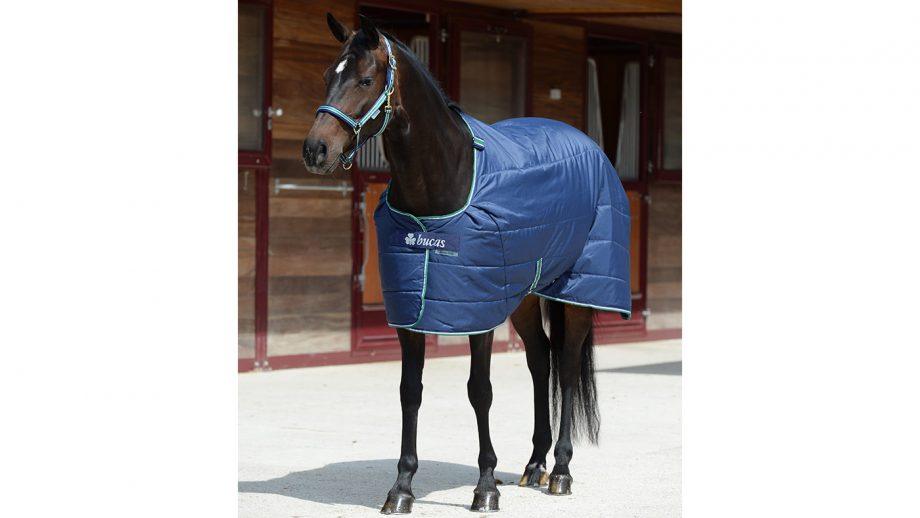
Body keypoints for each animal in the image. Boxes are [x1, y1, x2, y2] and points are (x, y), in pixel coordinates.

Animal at [303, 13, 631, 514]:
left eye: (364, 79)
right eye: (326, 76)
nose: (316, 149)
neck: (444, 183)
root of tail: (588, 144)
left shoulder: (477, 312)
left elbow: (480, 392)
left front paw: (486, 487)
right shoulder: (414, 311)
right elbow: (410, 392)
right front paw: (401, 488)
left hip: (577, 290)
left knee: (568, 365)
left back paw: (560, 470)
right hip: (523, 294)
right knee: (541, 361)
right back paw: (534, 464)